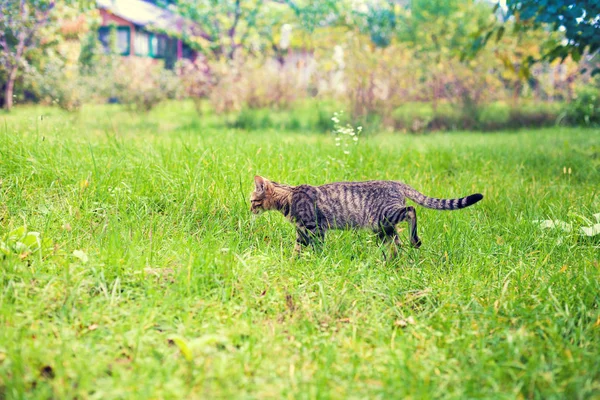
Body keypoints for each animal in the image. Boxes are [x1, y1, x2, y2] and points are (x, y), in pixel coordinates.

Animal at [248, 175, 482, 256]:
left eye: (252, 201)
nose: (249, 209)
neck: (288, 198)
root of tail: (396, 182)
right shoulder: (302, 232)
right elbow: (296, 249)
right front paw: (294, 261)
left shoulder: (315, 228)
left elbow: (316, 248)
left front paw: (315, 260)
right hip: (383, 228)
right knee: (396, 243)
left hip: (386, 216)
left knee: (411, 211)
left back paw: (415, 241)